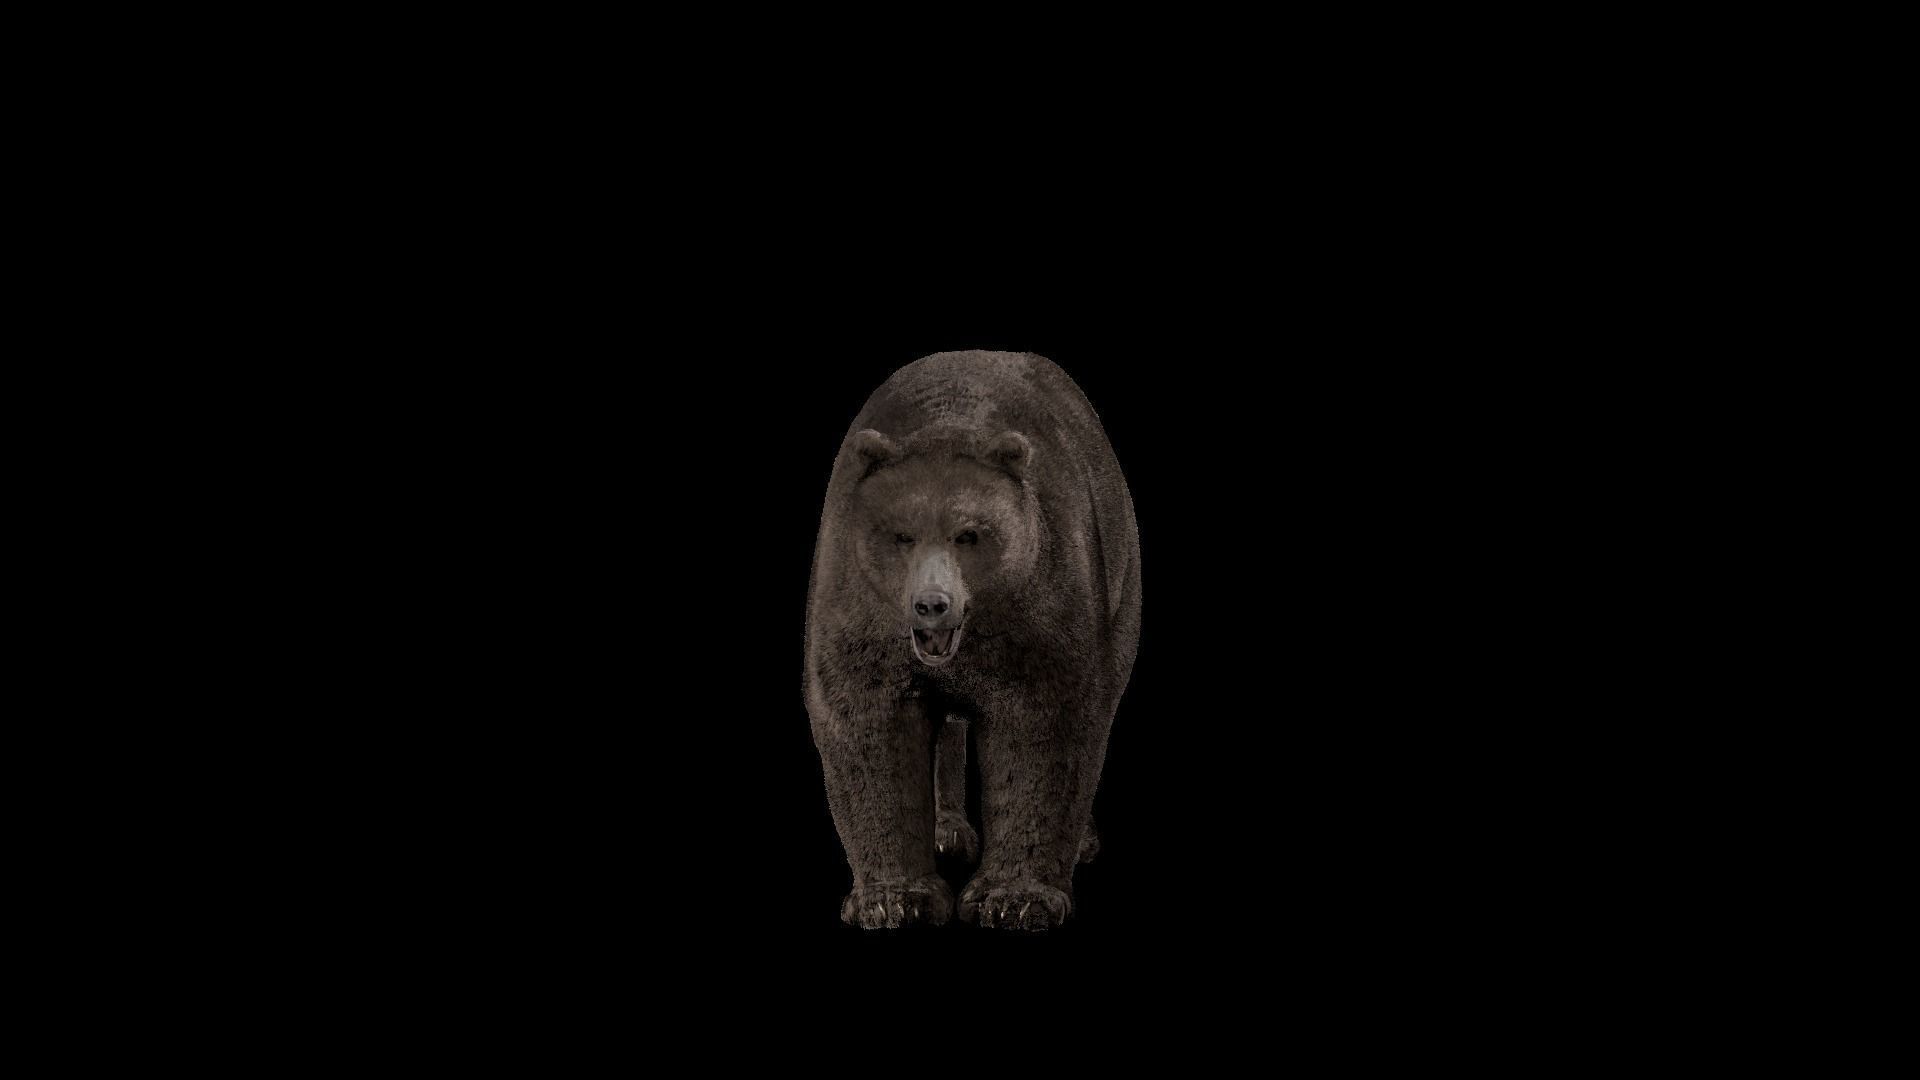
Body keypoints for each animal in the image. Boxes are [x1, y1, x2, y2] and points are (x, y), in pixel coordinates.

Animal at [803, 350, 1141, 930]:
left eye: (969, 534)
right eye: (901, 535)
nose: (931, 603)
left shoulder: (1041, 603)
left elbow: (1041, 728)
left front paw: (1015, 898)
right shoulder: (856, 604)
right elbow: (869, 724)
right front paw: (893, 897)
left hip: (1121, 574)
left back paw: (1081, 842)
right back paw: (948, 832)